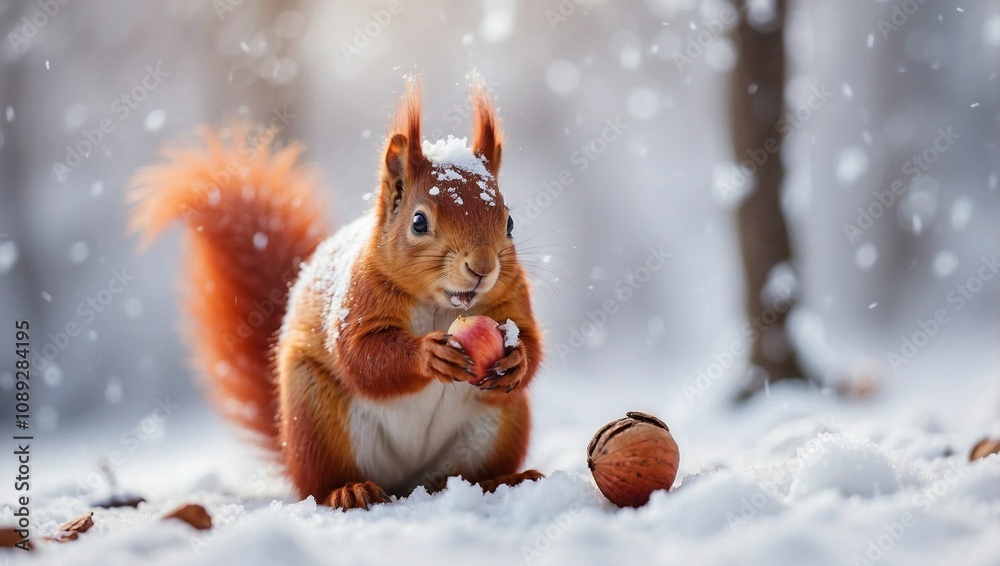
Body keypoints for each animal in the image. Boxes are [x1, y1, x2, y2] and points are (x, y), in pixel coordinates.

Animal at [127, 78, 543, 510]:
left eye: (510, 222)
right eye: (418, 222)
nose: (482, 268)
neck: (440, 305)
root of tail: (408, 481)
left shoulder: (512, 297)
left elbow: (531, 339)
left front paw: (516, 361)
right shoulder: (358, 298)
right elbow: (362, 356)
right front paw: (428, 354)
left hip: (501, 422)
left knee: (463, 473)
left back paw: (500, 480)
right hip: (317, 418)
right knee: (320, 483)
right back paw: (350, 490)